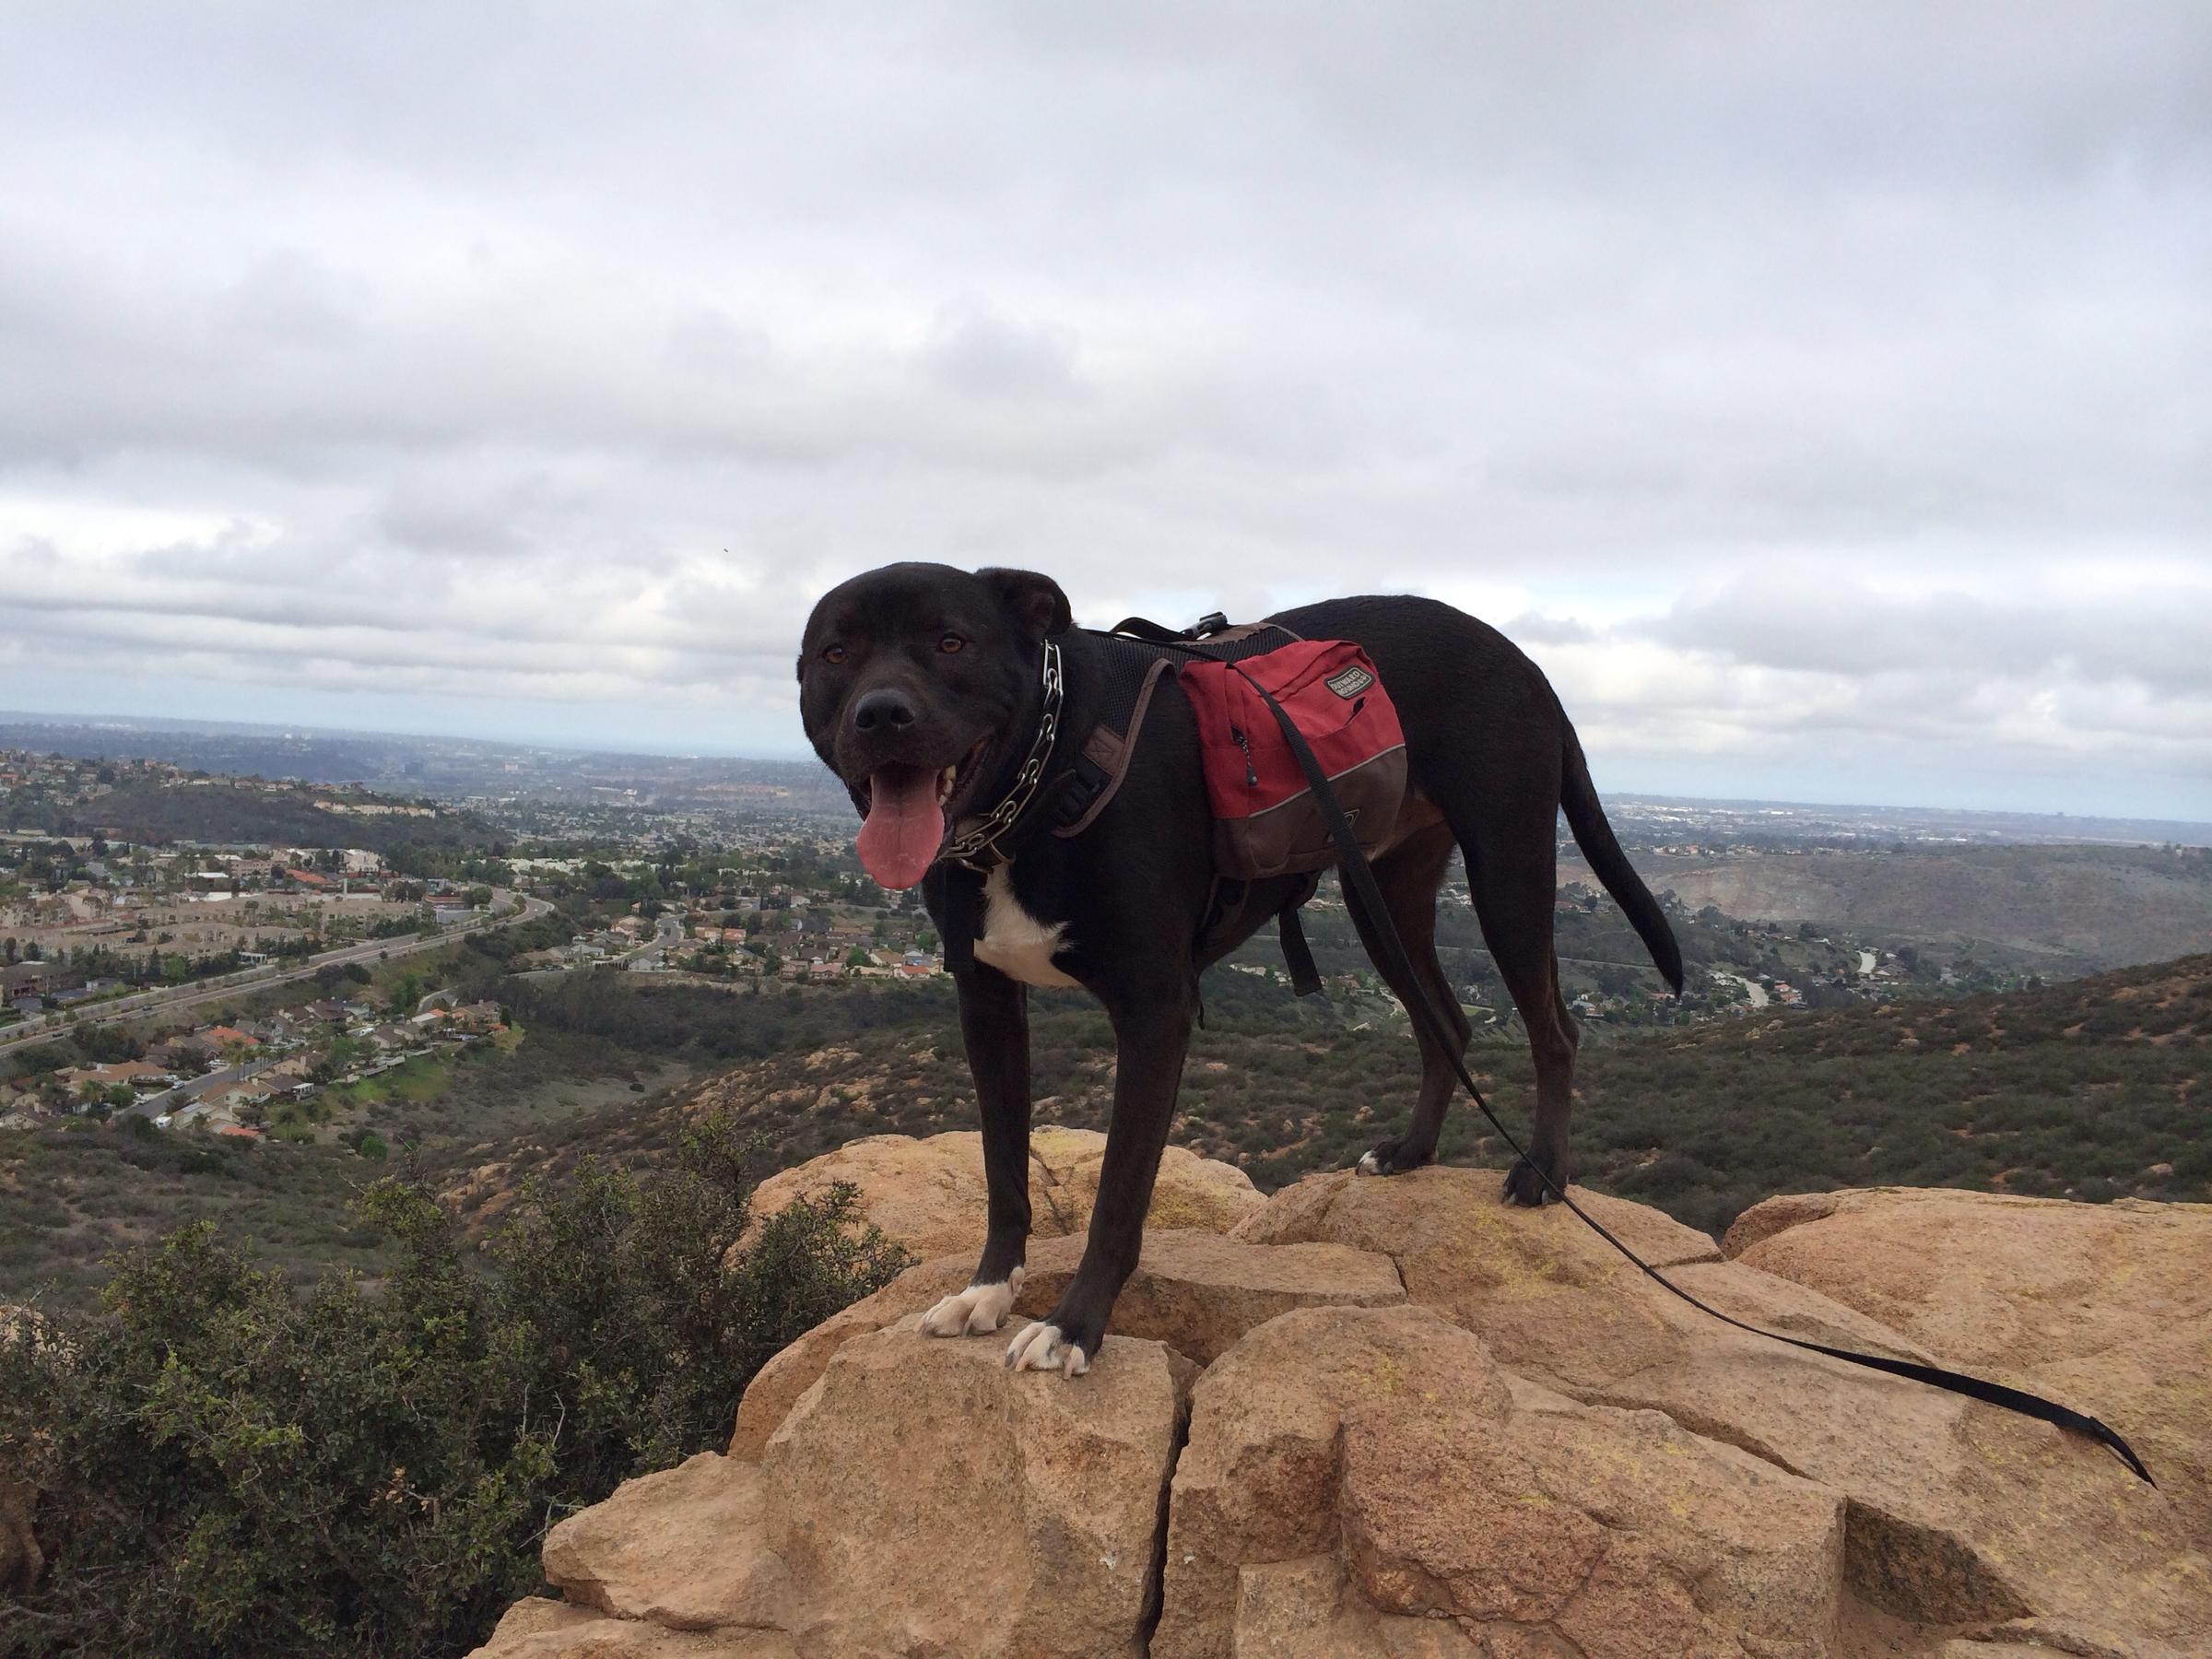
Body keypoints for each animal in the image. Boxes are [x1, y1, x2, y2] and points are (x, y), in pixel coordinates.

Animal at [805, 571, 1681, 1380]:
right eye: (836, 653)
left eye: (951, 642)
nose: (882, 714)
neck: (1044, 775)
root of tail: (1525, 661)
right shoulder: (984, 1003)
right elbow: (1002, 1166)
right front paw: (988, 1291)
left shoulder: (1155, 1011)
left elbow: (1119, 1195)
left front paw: (1074, 1327)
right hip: (1383, 896)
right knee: (1450, 1023)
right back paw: (1413, 1151)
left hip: (1507, 874)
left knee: (1555, 1029)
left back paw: (1543, 1173)